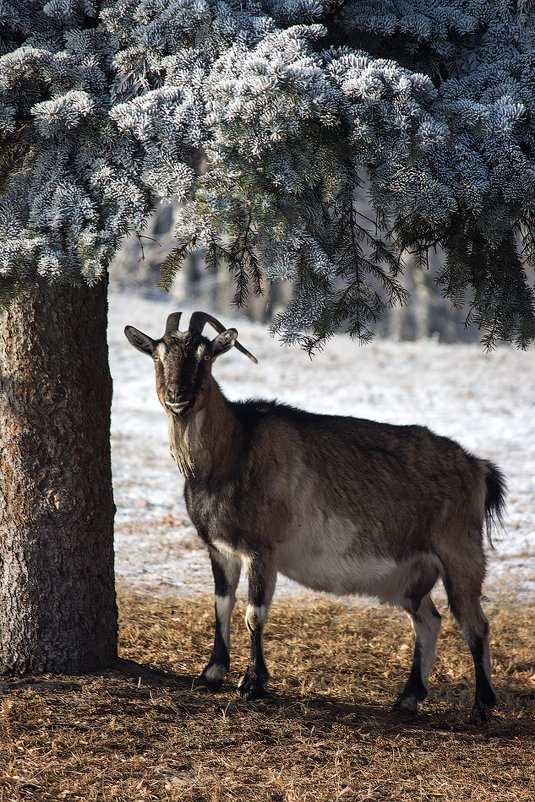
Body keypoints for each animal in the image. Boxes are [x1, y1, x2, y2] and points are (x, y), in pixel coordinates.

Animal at [124, 308, 506, 720]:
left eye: (204, 355)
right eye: (157, 355)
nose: (177, 396)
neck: (231, 453)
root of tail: (478, 467)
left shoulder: (262, 548)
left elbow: (254, 613)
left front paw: (252, 684)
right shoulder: (220, 549)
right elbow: (222, 604)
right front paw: (211, 674)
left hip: (459, 552)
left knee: (475, 623)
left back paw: (482, 705)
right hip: (413, 571)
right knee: (429, 621)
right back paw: (408, 697)